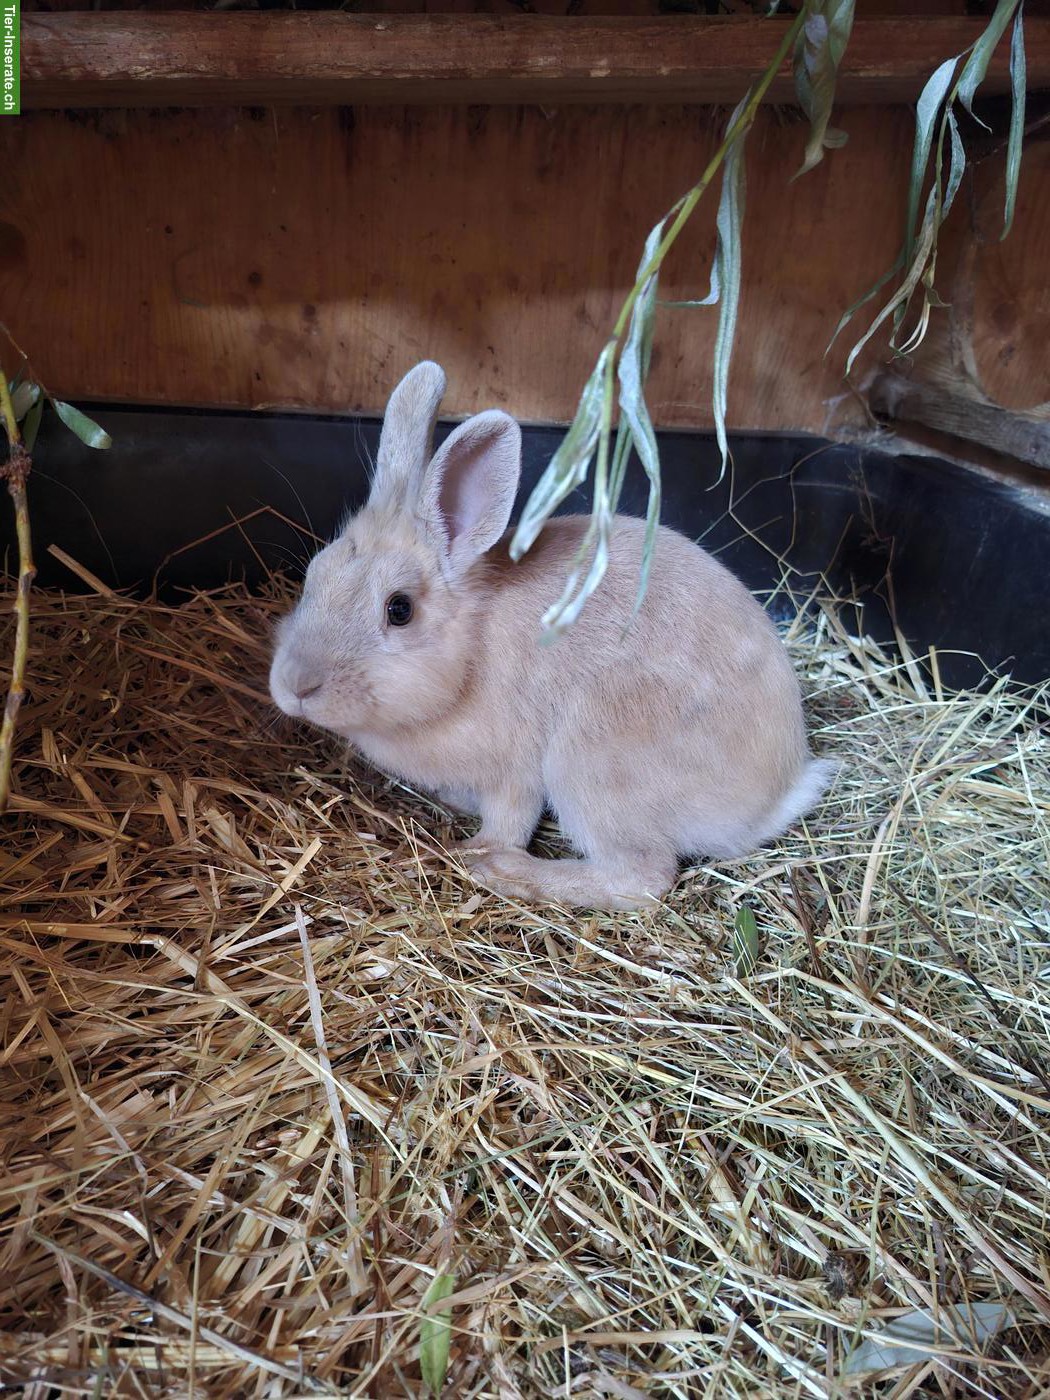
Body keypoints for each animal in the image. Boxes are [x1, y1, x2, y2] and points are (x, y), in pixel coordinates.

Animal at [269, 360, 835, 912]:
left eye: (400, 609)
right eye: (313, 576)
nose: (295, 687)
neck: (470, 655)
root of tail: (777, 792)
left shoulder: (513, 773)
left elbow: (510, 820)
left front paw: (476, 851)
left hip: (590, 766)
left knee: (641, 877)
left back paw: (508, 873)